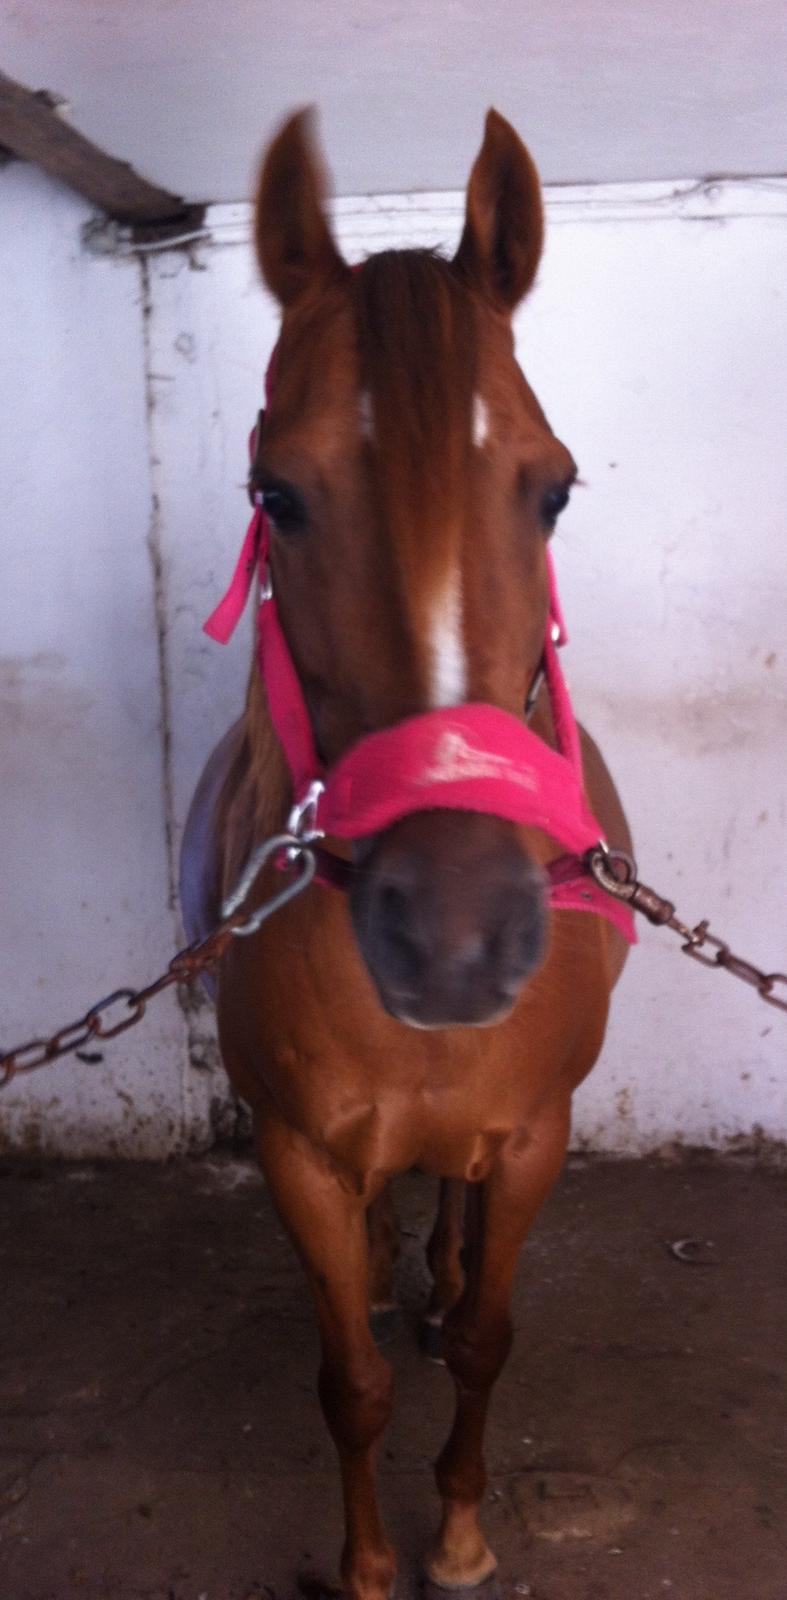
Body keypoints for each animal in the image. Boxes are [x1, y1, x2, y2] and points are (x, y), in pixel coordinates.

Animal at [180, 107, 634, 1600]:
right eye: (275, 492)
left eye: (554, 489)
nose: (455, 939)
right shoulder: (299, 1157)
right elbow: (352, 1384)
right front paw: (371, 1562)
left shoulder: (533, 1134)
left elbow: (487, 1341)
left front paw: (463, 1535)